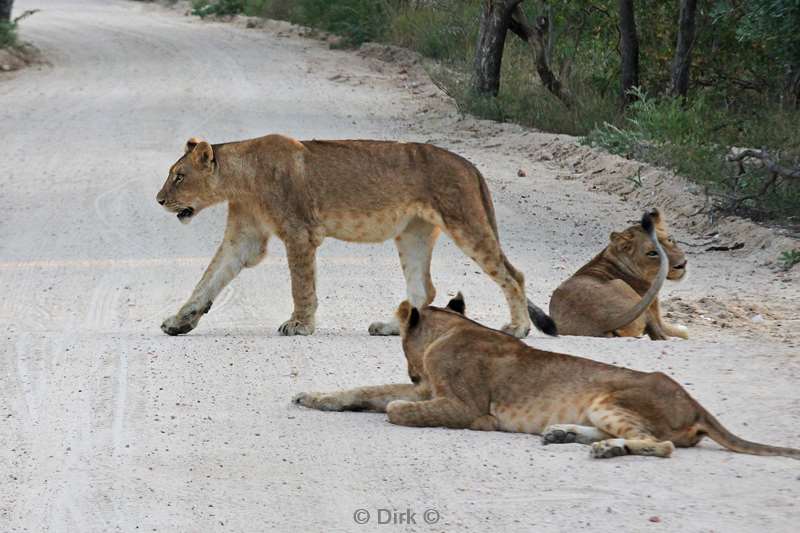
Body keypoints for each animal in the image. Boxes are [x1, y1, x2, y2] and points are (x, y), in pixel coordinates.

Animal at [156, 135, 556, 338]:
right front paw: (180, 320)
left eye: (179, 176)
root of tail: (470, 165)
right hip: (413, 233)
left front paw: (300, 325)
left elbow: (301, 285)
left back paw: (518, 328)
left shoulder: (300, 232)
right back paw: (392, 327)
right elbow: (208, 280)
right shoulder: (244, 237)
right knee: (423, 289)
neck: (241, 179)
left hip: (466, 223)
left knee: (513, 275)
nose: (159, 200)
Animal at [294, 294, 800, 460]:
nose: (410, 368)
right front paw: (312, 397)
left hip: (611, 398)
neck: (451, 329)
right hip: (601, 408)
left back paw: (605, 450)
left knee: (662, 445)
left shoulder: (465, 407)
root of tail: (695, 403)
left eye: (401, 343)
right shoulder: (427, 388)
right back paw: (564, 434)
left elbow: (398, 409)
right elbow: (368, 390)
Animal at [552, 209, 688, 340]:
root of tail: (603, 323)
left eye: (670, 239)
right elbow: (682, 331)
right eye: (652, 253)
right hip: (622, 285)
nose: (682, 264)